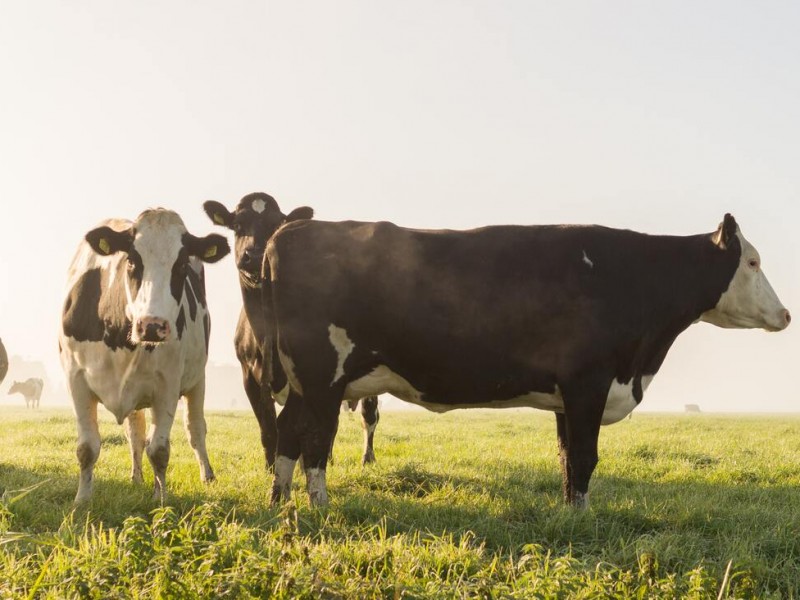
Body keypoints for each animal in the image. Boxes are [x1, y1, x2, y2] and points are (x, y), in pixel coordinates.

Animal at [58, 209, 228, 504]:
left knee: (195, 428)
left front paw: (162, 501)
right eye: (131, 261)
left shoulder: (167, 386)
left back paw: (206, 476)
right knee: (136, 434)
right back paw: (136, 478)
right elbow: (87, 448)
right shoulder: (75, 380)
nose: (152, 325)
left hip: (198, 380)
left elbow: (159, 450)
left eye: (181, 265)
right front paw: (82, 501)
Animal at [205, 192, 382, 468]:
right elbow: (269, 429)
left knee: (368, 415)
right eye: (237, 225)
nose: (255, 255)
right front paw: (271, 468)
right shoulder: (249, 377)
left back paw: (367, 457)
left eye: (276, 224)